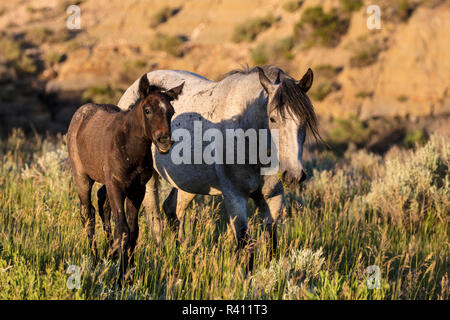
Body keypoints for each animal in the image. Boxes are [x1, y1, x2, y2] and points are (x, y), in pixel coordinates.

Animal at [67, 74, 183, 278]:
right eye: (147, 110)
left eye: (171, 111)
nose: (164, 141)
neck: (129, 147)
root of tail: (81, 112)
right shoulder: (116, 186)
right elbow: (123, 229)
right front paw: (121, 275)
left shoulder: (137, 189)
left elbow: (134, 230)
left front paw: (129, 268)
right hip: (82, 178)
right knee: (88, 213)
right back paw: (94, 258)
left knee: (102, 203)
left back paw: (108, 252)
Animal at [113, 65, 316, 264]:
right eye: (272, 118)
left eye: (305, 119)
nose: (294, 175)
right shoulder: (235, 197)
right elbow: (245, 246)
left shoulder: (273, 197)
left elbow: (271, 244)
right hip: (149, 183)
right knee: (155, 221)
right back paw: (162, 258)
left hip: (188, 184)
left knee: (173, 210)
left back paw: (183, 256)